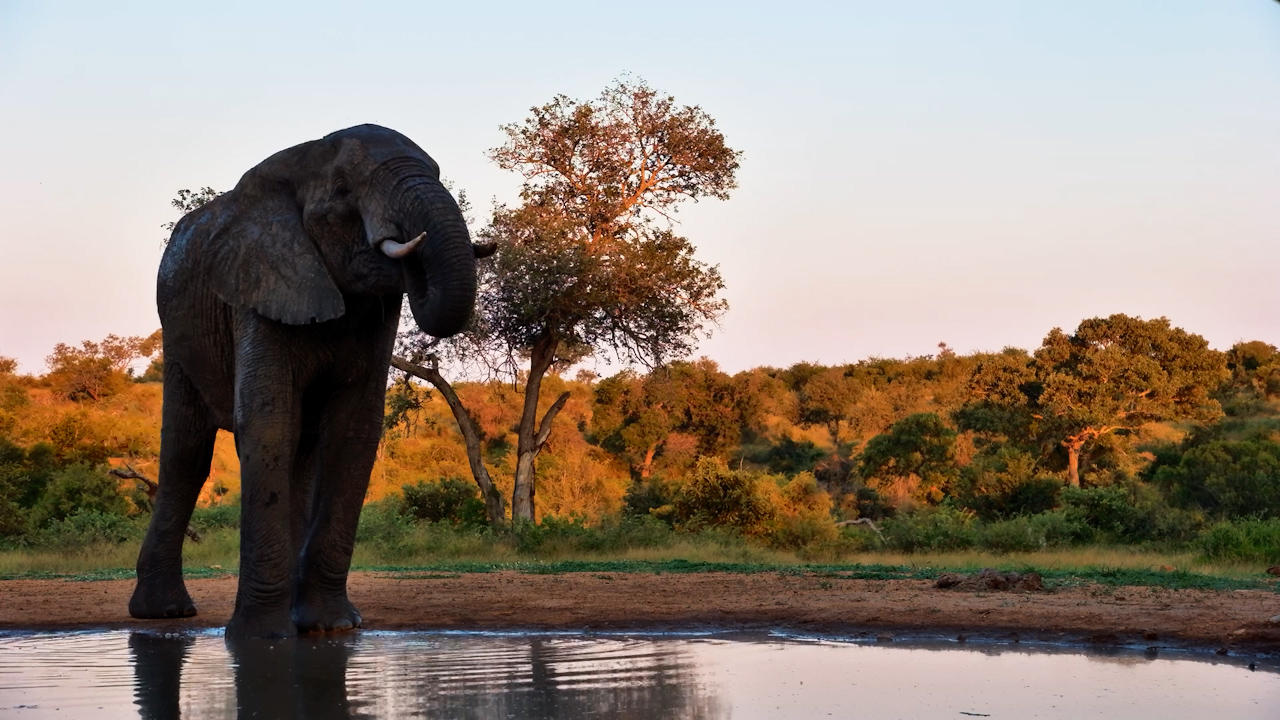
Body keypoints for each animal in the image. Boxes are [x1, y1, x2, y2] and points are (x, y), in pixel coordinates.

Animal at [131, 124, 490, 639]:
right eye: (342, 191)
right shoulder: (259, 283)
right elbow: (267, 423)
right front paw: (261, 637)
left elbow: (352, 431)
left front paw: (332, 627)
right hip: (178, 336)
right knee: (186, 454)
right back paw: (165, 613)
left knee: (298, 450)